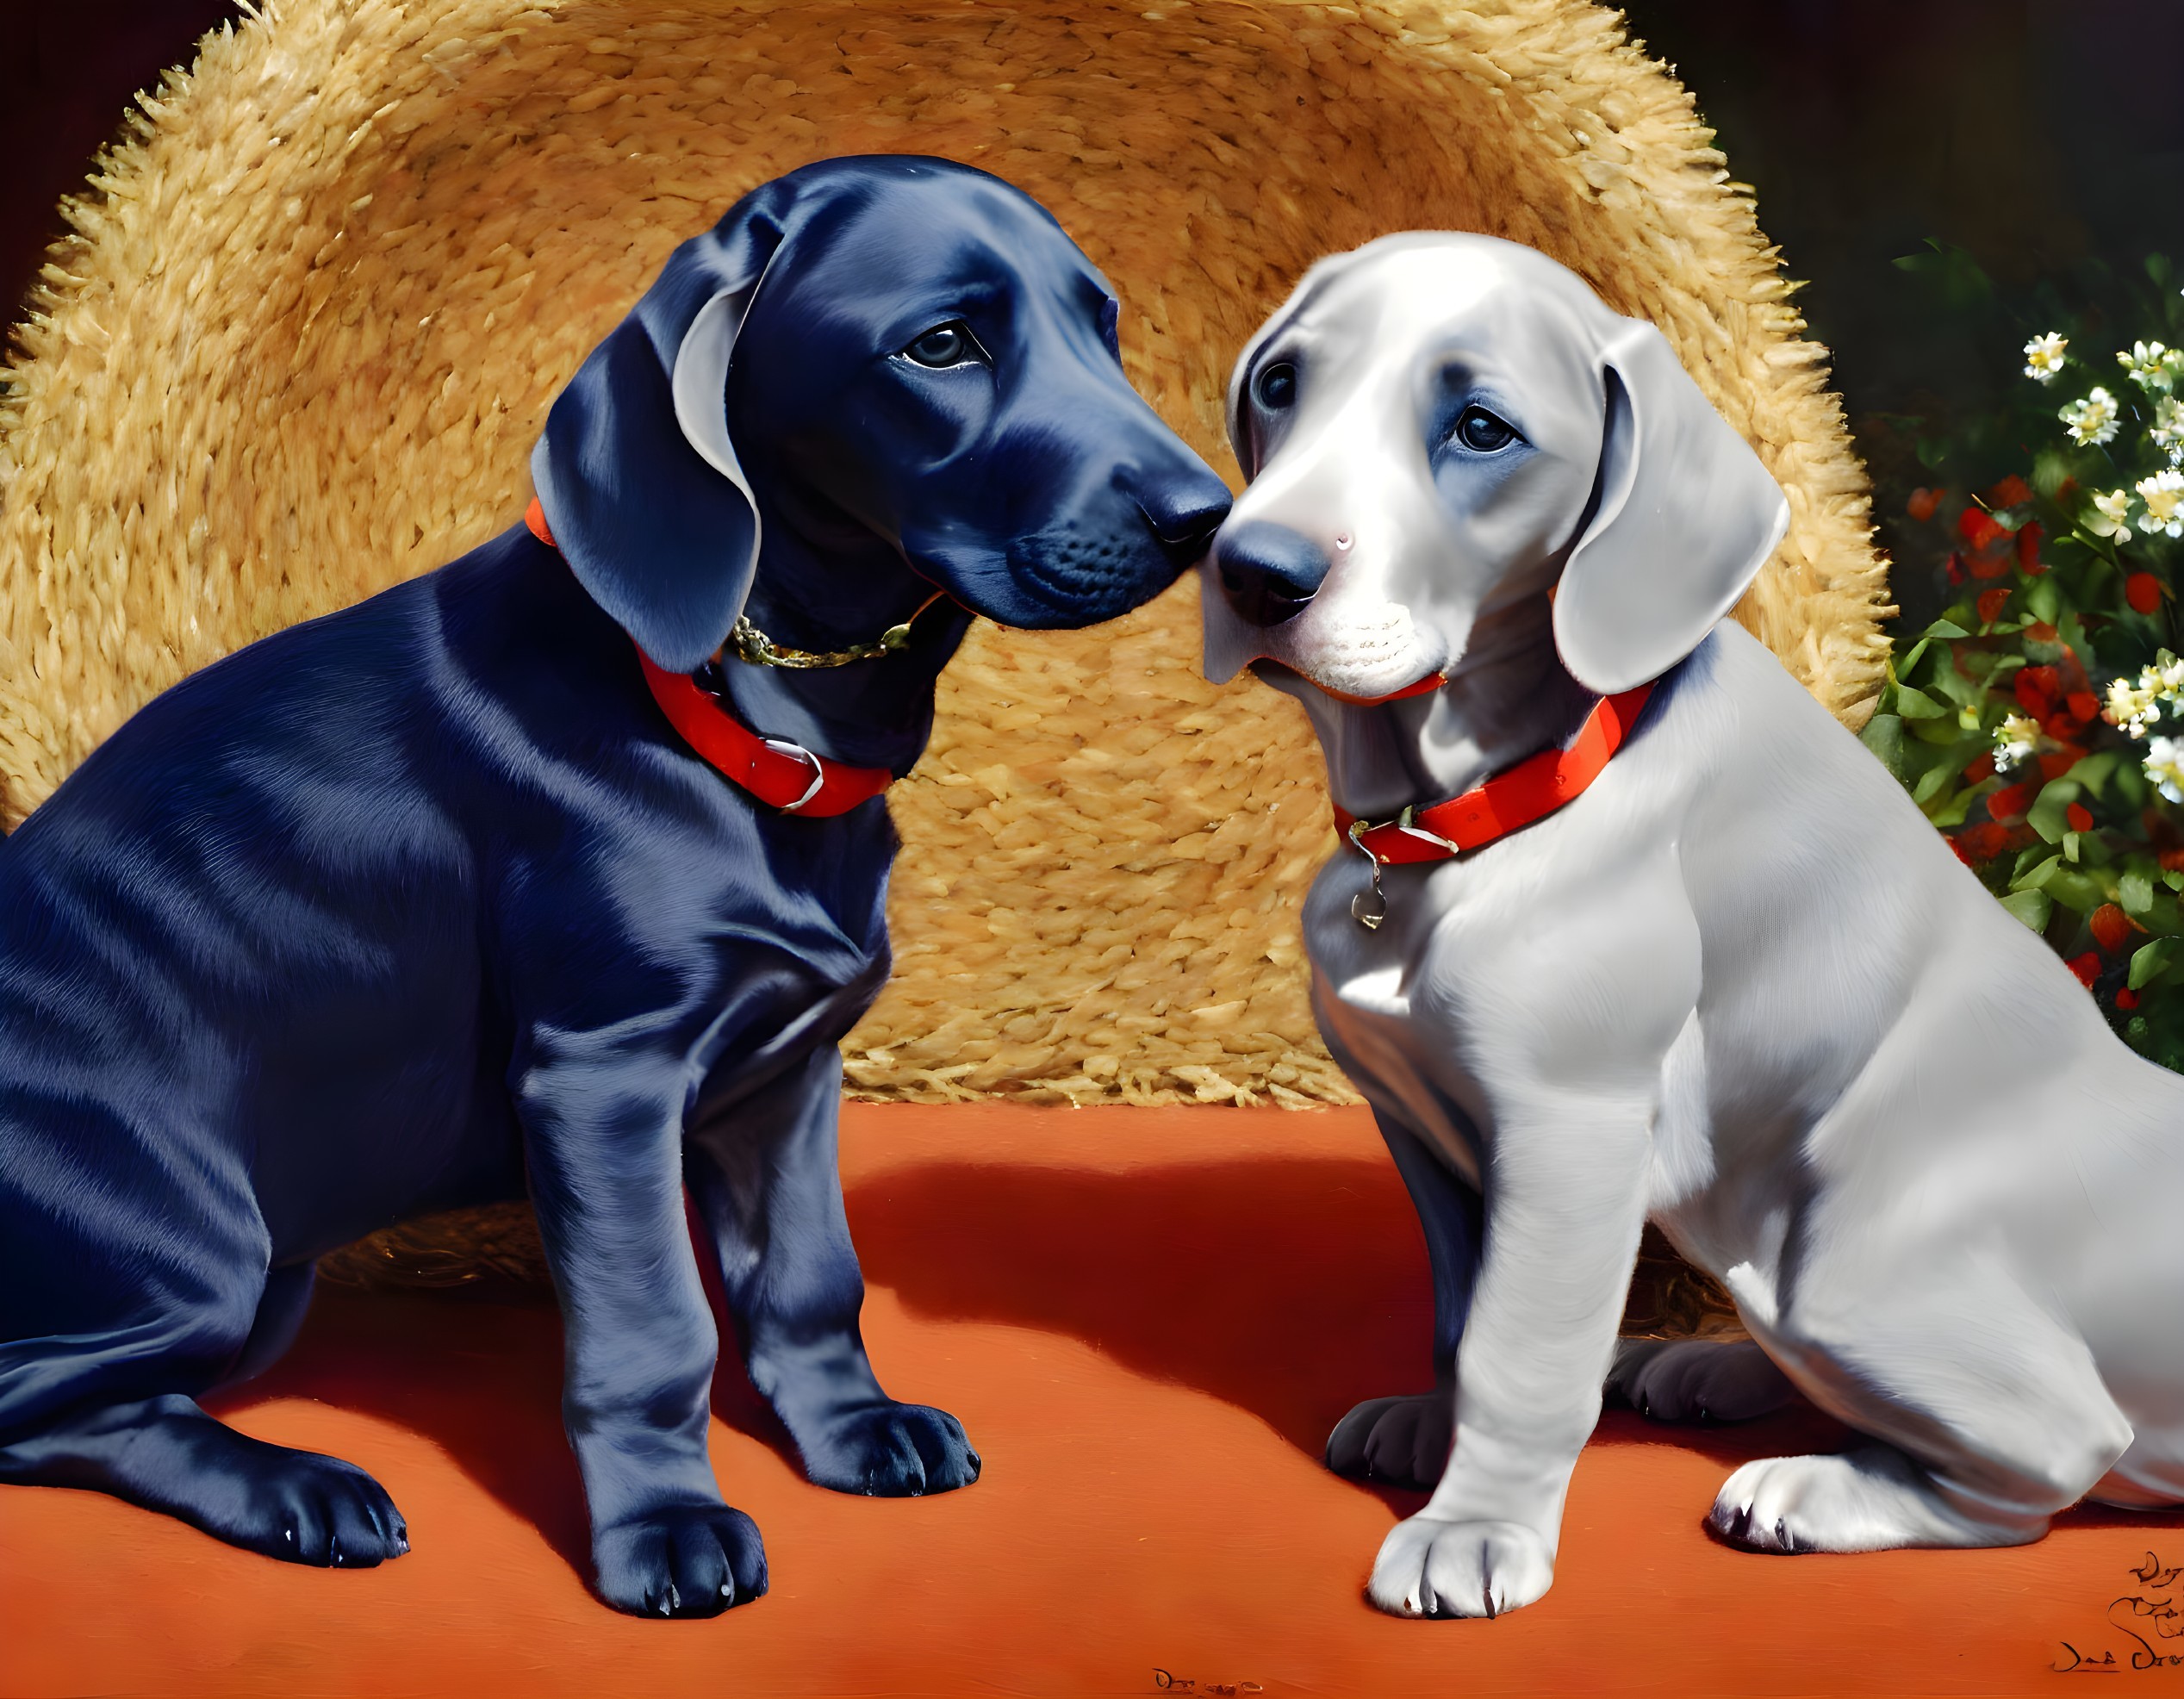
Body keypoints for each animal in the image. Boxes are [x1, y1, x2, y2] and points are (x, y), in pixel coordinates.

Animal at [0, 154, 1231, 1615]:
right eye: (940, 345)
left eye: (1101, 326)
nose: (1208, 518)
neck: (731, 722)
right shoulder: (602, 1078)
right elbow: (654, 1328)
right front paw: (666, 1527)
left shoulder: (782, 1076)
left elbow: (808, 1281)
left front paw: (849, 1430)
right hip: (200, 1245)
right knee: (37, 1404)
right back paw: (294, 1486)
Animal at [1205, 234, 2184, 1615]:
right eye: (1282, 384)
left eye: (1480, 428)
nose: (1252, 571)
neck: (1464, 822)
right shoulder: (1423, 1127)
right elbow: (1460, 1309)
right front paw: (1434, 1434)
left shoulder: (1566, 1127)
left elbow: (1517, 1342)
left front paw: (1477, 1526)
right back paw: (1714, 1372)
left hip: (1849, 1272)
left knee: (2056, 1454)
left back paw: (1808, 1489)